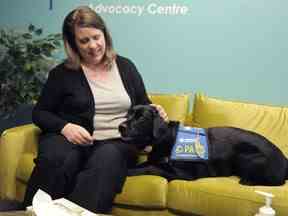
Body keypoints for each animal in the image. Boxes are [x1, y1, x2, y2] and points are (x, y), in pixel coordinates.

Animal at [118, 104, 288, 186]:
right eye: (128, 115)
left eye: (141, 118)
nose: (120, 126)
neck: (165, 138)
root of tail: (285, 161)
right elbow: (148, 163)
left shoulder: (184, 174)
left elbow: (152, 168)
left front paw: (129, 172)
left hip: (248, 154)